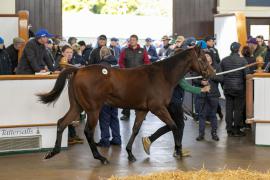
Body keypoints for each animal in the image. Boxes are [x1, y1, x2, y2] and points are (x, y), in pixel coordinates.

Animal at [38, 45, 215, 165]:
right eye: (202, 59)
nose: (212, 73)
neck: (162, 75)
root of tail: (77, 70)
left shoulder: (143, 110)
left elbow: (136, 129)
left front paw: (130, 153)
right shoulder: (157, 108)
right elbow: (174, 126)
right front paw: (178, 150)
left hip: (77, 107)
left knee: (62, 122)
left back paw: (52, 152)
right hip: (93, 109)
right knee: (88, 131)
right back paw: (101, 158)